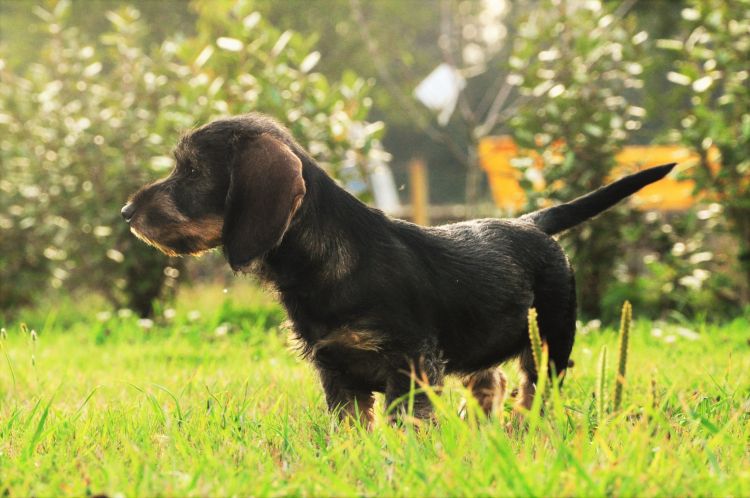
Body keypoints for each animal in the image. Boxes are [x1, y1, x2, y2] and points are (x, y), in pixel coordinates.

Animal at [122, 115, 676, 426]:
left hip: (552, 342)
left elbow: (404, 424)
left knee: (535, 391)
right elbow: (349, 430)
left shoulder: (409, 366)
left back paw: (524, 428)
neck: (326, 265)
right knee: (490, 384)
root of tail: (530, 222)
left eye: (193, 171)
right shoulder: (337, 374)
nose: (127, 212)